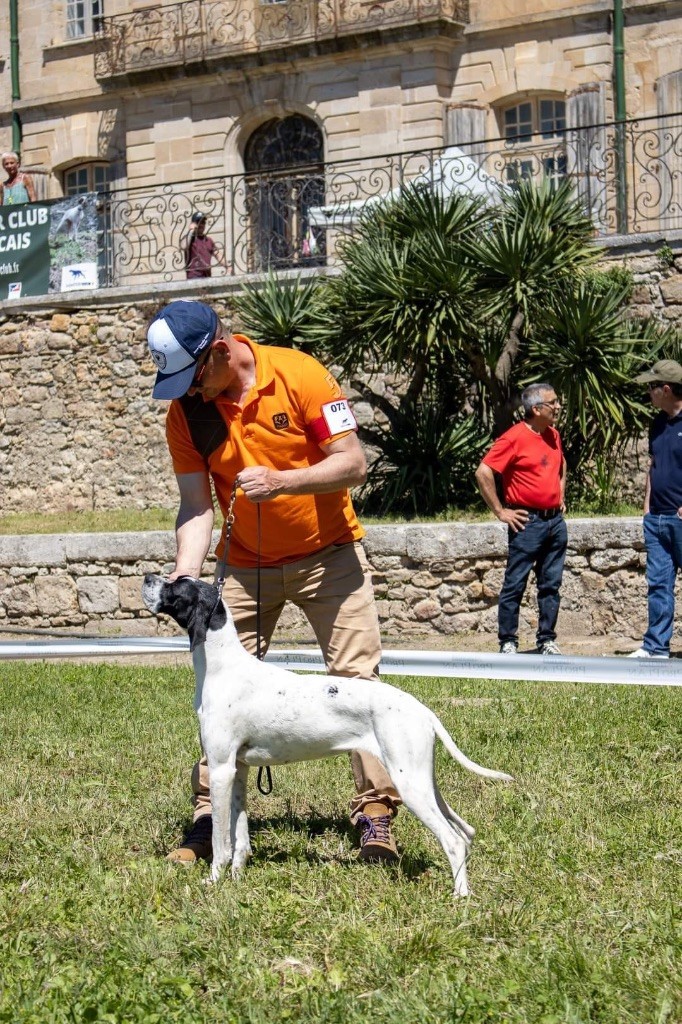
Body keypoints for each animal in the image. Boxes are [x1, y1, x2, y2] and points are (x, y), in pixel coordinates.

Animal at [142, 577, 509, 897]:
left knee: (454, 840)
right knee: (465, 831)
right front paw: (236, 877)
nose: (147, 578)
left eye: (175, 585)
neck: (223, 667)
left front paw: (214, 881)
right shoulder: (238, 771)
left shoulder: (220, 771)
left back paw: (460, 896)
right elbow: (240, 836)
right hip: (423, 780)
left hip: (410, 785)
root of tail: (422, 710)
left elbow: (222, 841)